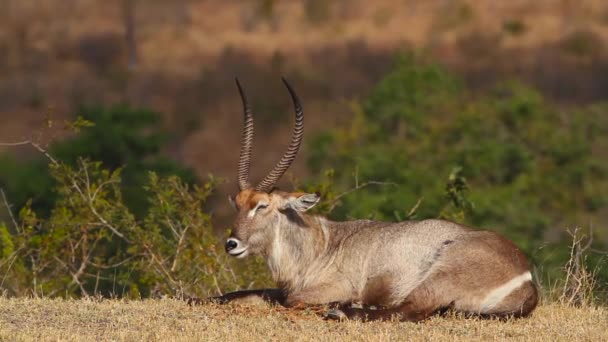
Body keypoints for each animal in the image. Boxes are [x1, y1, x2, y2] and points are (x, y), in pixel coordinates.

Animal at [214, 77, 536, 320]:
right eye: (237, 203)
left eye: (262, 205)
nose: (232, 244)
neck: (322, 245)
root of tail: (526, 276)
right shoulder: (281, 288)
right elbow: (234, 294)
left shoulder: (324, 289)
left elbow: (290, 301)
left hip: (439, 277)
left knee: (407, 311)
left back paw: (343, 311)